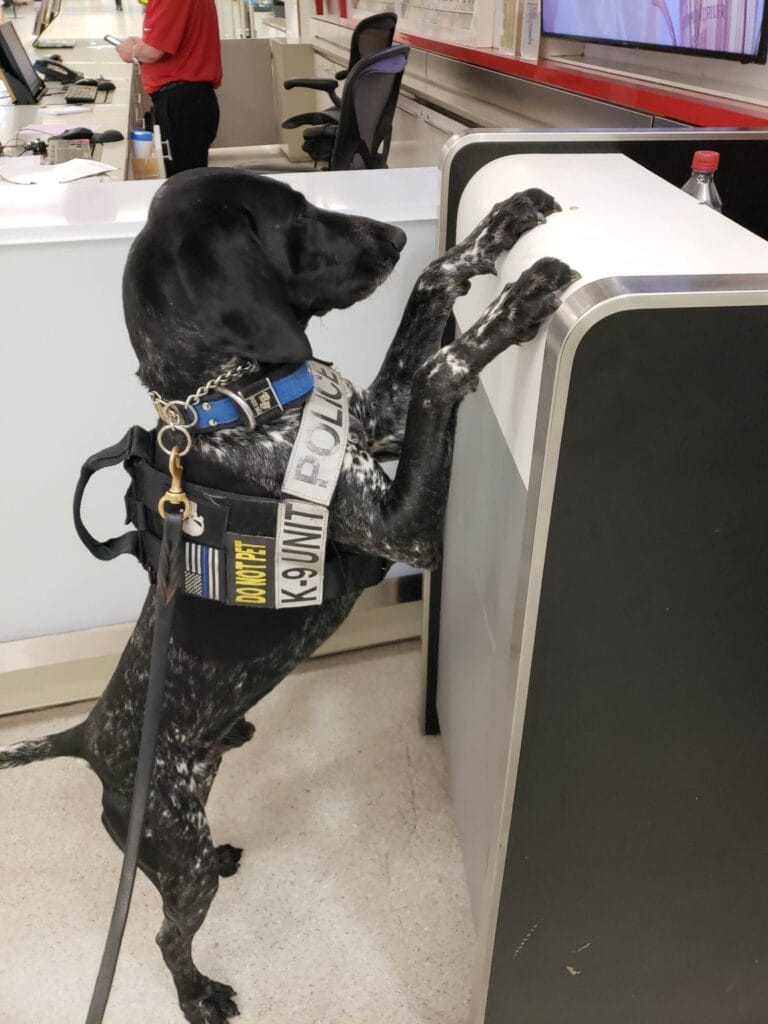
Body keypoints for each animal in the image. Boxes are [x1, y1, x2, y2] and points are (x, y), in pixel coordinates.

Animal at [0, 169, 575, 1024]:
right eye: (297, 216)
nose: (392, 237)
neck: (235, 400)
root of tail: (91, 738)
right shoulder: (404, 530)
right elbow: (440, 369)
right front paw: (515, 303)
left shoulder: (378, 418)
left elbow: (429, 294)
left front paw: (500, 225)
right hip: (178, 856)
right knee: (165, 935)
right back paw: (199, 995)